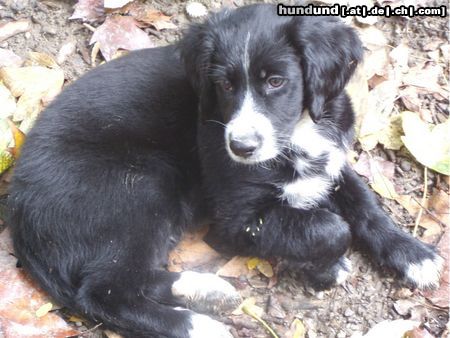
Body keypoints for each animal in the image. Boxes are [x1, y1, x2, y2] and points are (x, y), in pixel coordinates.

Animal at [7, 3, 442, 338]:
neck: (299, 133)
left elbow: (366, 206)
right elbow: (329, 228)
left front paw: (414, 254)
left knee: (132, 279)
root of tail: (17, 206)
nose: (240, 148)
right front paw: (326, 269)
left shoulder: (331, 158)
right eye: (224, 85)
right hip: (139, 186)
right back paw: (200, 325)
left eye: (276, 81)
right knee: (105, 290)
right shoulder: (235, 221)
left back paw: (207, 290)